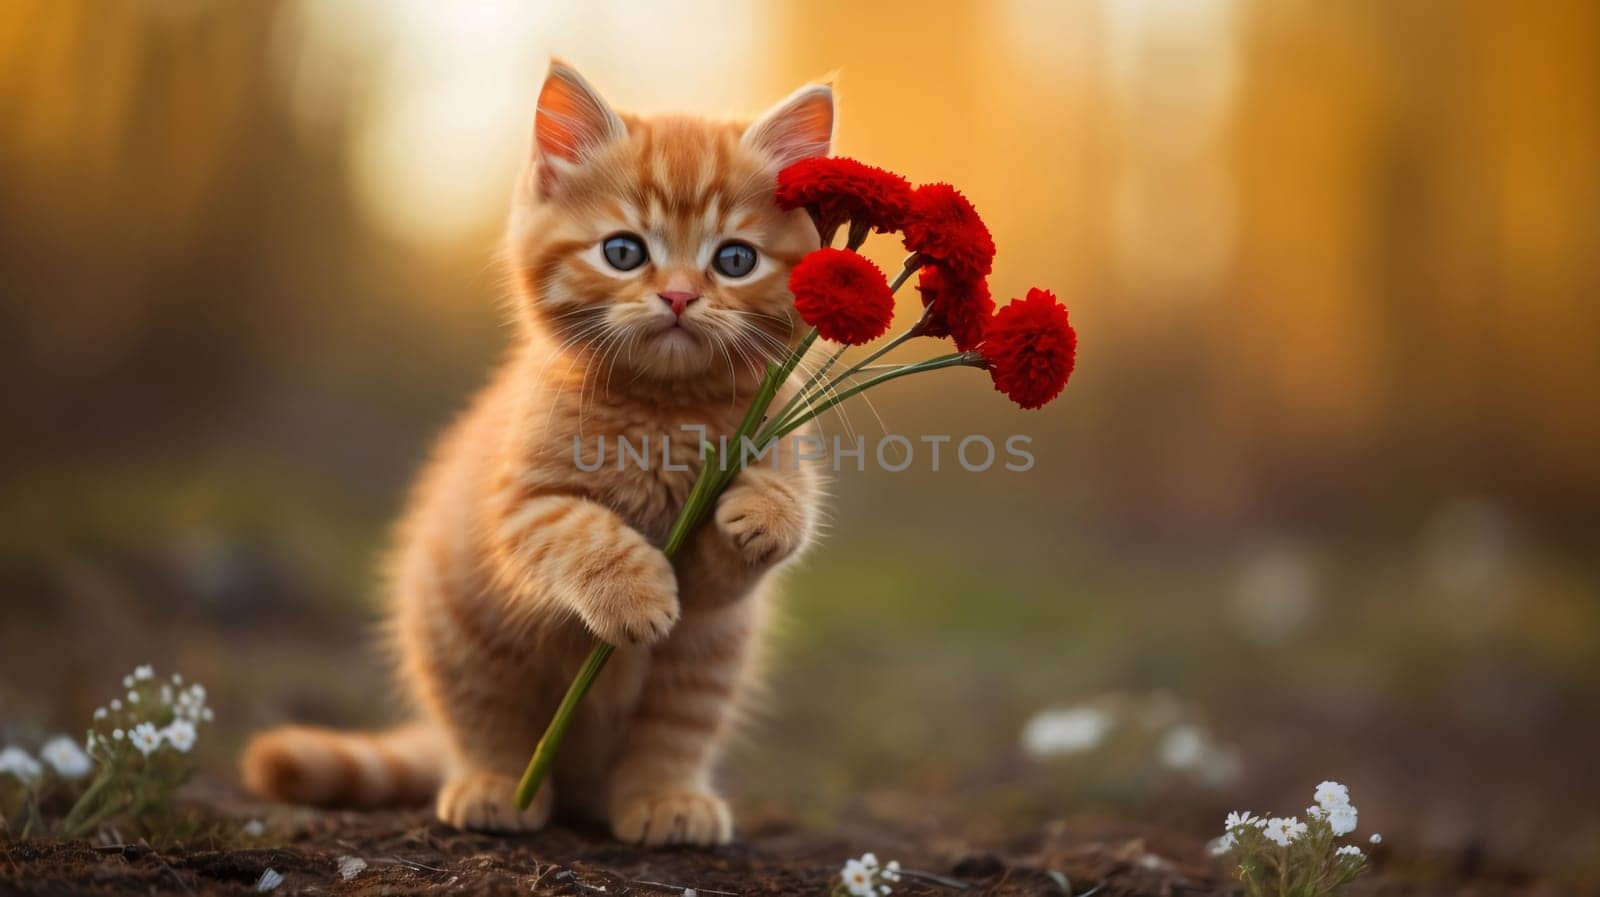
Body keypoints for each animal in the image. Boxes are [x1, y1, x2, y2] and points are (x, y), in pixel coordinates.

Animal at [243, 64, 832, 844]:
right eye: (624, 251)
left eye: (734, 259)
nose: (678, 295)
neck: (662, 409)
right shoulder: (517, 509)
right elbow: (584, 531)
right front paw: (635, 595)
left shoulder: (747, 511)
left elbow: (764, 521)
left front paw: (766, 513)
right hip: (459, 640)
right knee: (487, 725)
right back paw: (499, 789)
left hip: (709, 663)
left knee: (670, 735)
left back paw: (665, 800)